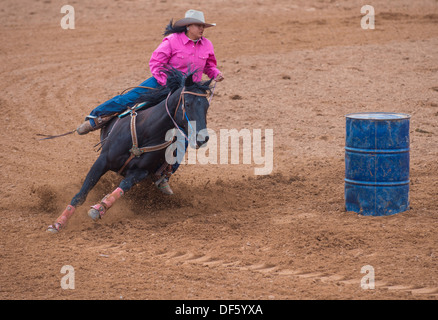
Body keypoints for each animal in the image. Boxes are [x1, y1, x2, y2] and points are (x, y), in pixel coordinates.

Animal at [47, 69, 213, 232]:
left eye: (206, 106)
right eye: (188, 103)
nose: (202, 138)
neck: (147, 131)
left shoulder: (140, 172)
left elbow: (123, 187)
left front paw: (100, 208)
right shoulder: (102, 161)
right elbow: (81, 195)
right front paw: (58, 224)